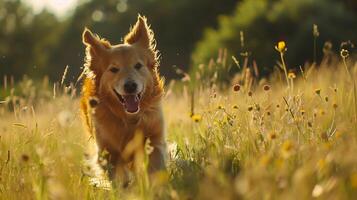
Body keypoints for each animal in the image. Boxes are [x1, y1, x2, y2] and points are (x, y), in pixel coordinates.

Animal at [79, 15, 165, 184]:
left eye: (138, 65)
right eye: (114, 69)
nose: (130, 86)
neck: (128, 119)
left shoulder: (155, 138)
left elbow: (155, 165)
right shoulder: (108, 153)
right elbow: (120, 179)